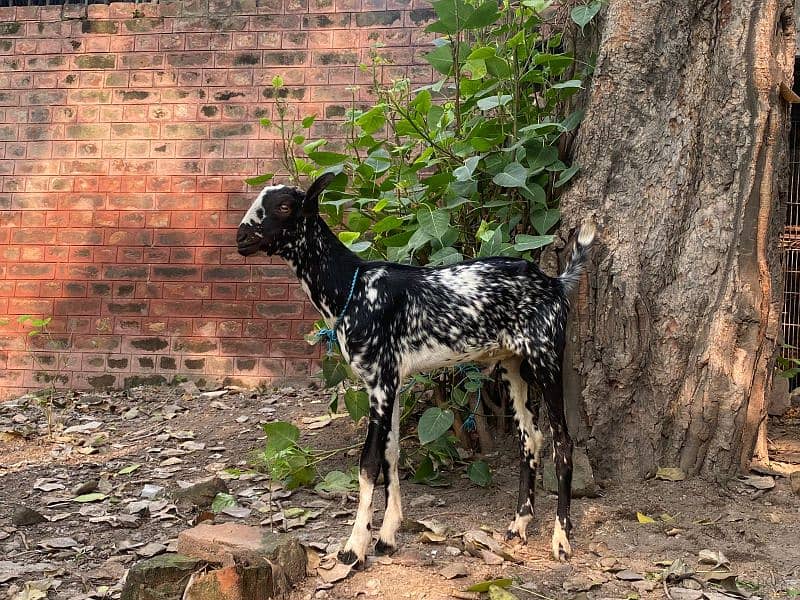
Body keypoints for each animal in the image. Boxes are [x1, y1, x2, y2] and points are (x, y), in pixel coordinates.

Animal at [236, 173, 592, 568]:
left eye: (284, 206)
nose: (241, 238)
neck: (353, 286)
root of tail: (555, 283)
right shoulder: (389, 381)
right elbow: (391, 453)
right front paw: (388, 536)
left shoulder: (381, 382)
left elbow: (368, 463)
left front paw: (354, 547)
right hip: (512, 366)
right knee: (530, 438)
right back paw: (519, 524)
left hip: (546, 358)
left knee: (563, 442)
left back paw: (561, 538)